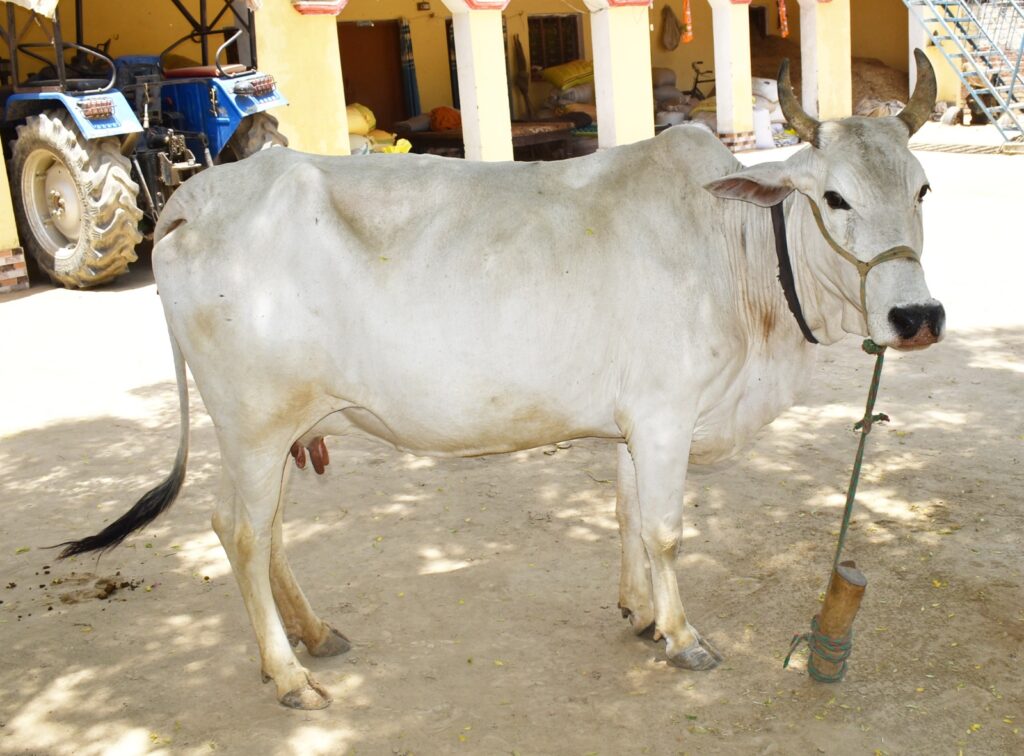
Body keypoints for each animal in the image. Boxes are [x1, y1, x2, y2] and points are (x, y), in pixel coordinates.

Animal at [58, 53, 944, 710]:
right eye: (834, 196)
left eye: (923, 188)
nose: (917, 315)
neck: (734, 250)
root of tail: (198, 195)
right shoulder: (666, 414)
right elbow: (663, 529)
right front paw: (684, 636)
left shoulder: (635, 420)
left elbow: (627, 514)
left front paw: (639, 613)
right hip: (255, 423)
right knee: (244, 534)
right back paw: (289, 675)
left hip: (271, 431)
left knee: (252, 528)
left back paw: (314, 635)